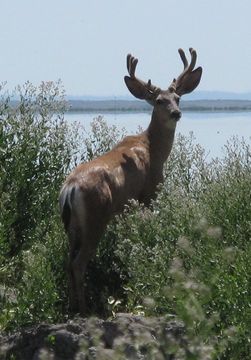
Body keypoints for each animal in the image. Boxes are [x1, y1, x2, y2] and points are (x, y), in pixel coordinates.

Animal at [59, 48, 203, 316]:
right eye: (159, 101)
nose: (176, 113)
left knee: (67, 260)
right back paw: (84, 309)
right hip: (95, 216)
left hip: (71, 225)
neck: (153, 149)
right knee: (78, 262)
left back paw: (72, 306)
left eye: (178, 98)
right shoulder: (148, 194)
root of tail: (70, 189)